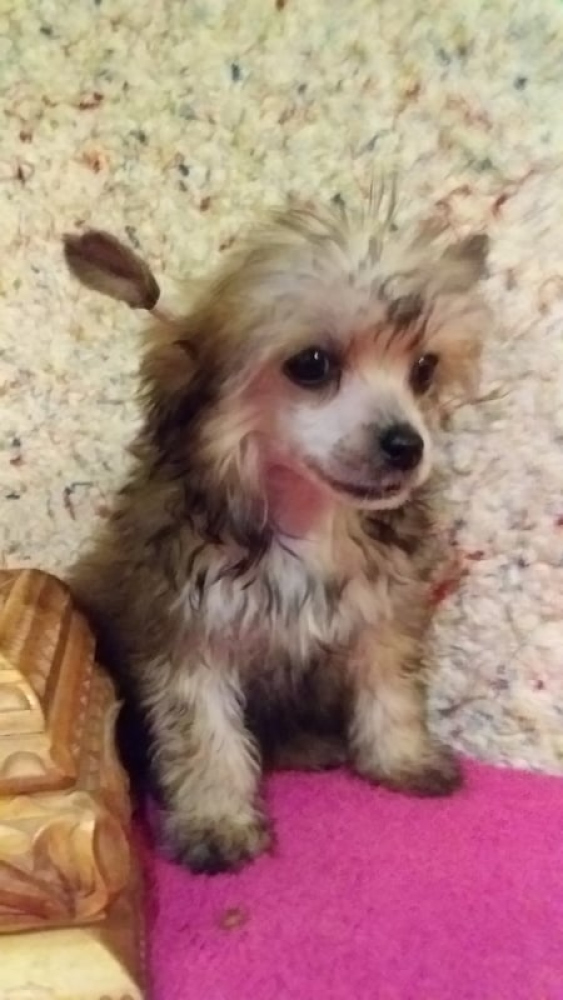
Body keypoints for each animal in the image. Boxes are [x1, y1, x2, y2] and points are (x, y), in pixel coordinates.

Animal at [65, 196, 490, 873]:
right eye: (312, 365)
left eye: (423, 369)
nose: (406, 445)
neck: (308, 518)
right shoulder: (188, 631)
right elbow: (203, 732)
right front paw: (216, 819)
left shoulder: (384, 610)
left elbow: (390, 686)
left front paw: (401, 757)